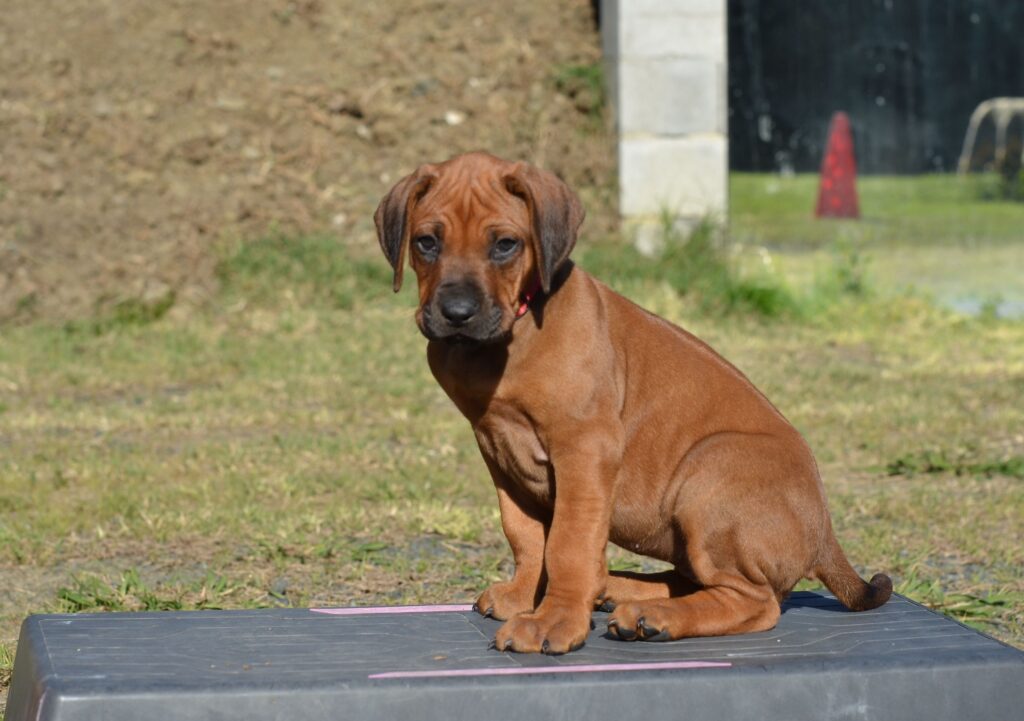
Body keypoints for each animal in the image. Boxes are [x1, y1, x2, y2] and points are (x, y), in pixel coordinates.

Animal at [374, 150, 888, 655]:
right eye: (426, 243)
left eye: (504, 245)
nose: (457, 314)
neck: (511, 333)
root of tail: (823, 532)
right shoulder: (498, 452)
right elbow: (525, 535)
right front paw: (525, 597)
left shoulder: (584, 449)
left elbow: (567, 544)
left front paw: (554, 619)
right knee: (692, 579)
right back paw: (618, 590)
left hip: (708, 474)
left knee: (756, 600)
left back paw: (651, 615)